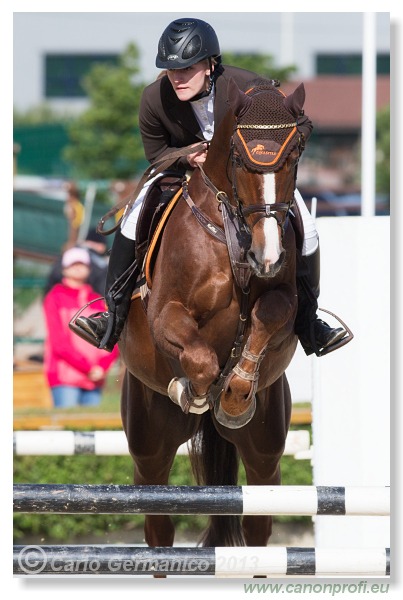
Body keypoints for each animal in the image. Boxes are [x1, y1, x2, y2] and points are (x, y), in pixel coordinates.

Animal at [120, 79, 310, 548]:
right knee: (158, 524)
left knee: (259, 520)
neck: (231, 228)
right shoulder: (165, 313)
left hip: (265, 451)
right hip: (149, 450)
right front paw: (193, 390)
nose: (267, 255)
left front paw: (236, 393)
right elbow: (201, 358)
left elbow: (266, 317)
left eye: (295, 153)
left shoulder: (284, 298)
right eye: (239, 158)